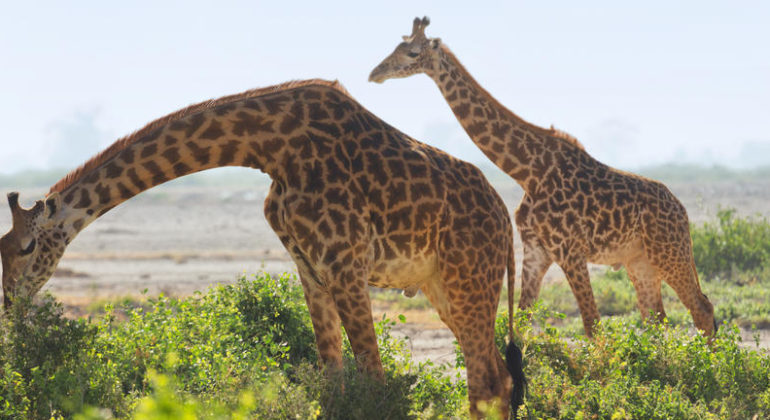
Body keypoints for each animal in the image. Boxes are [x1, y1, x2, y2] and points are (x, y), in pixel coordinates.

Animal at [0, 78, 520, 416]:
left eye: (26, 246)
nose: (7, 301)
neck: (270, 148)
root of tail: (504, 219)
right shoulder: (311, 268)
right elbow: (332, 383)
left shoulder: (346, 265)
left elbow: (375, 381)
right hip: (443, 289)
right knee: (496, 377)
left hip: (471, 281)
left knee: (486, 380)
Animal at [368, 17, 716, 338]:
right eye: (396, 47)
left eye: (412, 52)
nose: (375, 73)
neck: (527, 172)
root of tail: (682, 211)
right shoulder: (536, 250)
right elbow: (521, 323)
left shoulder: (569, 250)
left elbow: (592, 325)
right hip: (639, 260)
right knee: (656, 319)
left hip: (668, 252)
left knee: (701, 308)